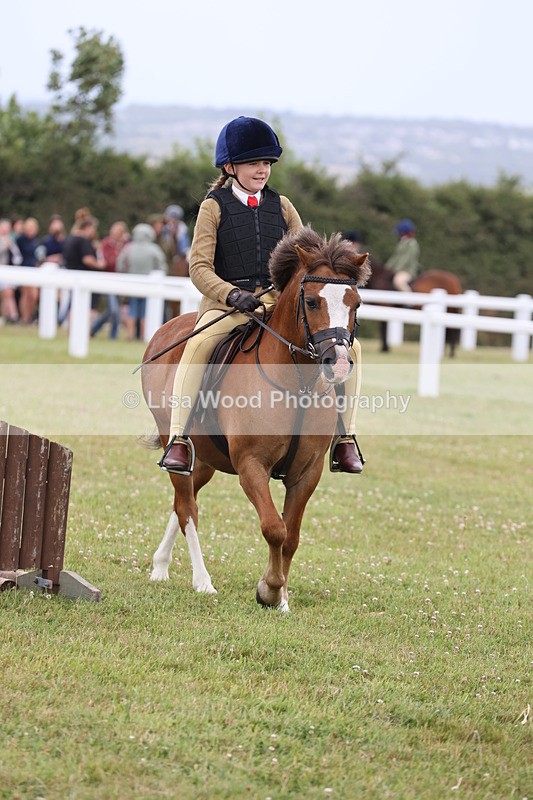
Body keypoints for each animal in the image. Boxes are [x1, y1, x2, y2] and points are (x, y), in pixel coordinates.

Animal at [141, 227, 370, 612]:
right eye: (312, 302)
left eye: (355, 304)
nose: (338, 365)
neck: (297, 383)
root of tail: (165, 330)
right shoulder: (251, 465)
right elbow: (274, 527)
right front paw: (270, 590)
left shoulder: (307, 473)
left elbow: (291, 536)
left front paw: (281, 597)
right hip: (173, 444)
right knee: (187, 507)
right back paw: (202, 581)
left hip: (204, 459)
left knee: (182, 503)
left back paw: (160, 566)